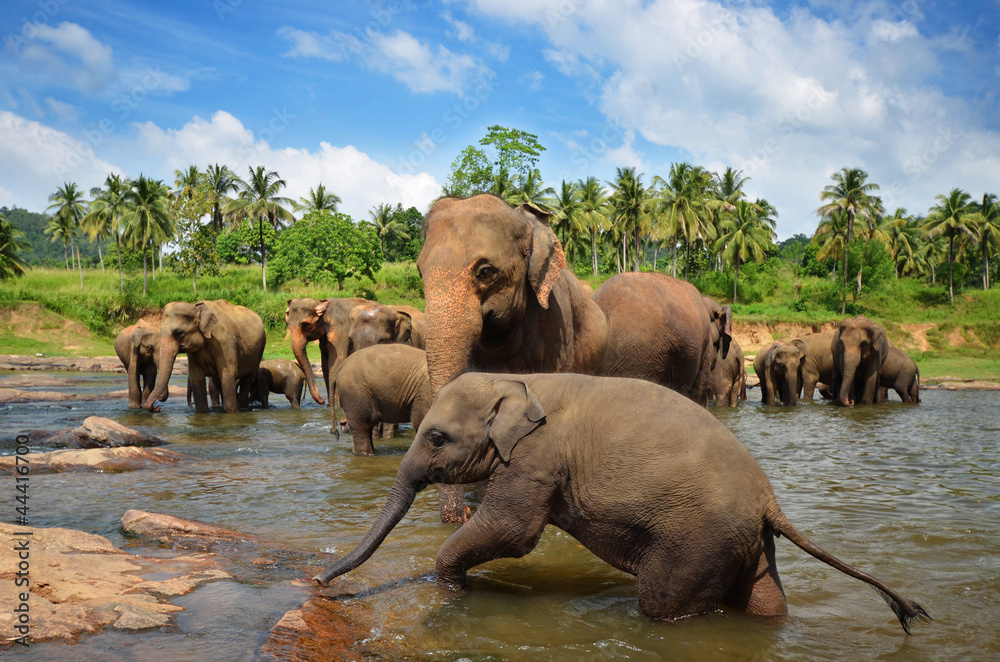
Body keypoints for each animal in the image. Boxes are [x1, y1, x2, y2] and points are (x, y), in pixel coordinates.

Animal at [313, 372, 930, 633]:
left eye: (437, 437)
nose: (318, 583)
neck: (515, 379)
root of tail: (769, 500)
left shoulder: (536, 460)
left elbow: (514, 532)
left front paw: (453, 589)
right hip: (745, 544)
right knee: (764, 603)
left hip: (697, 540)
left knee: (663, 604)